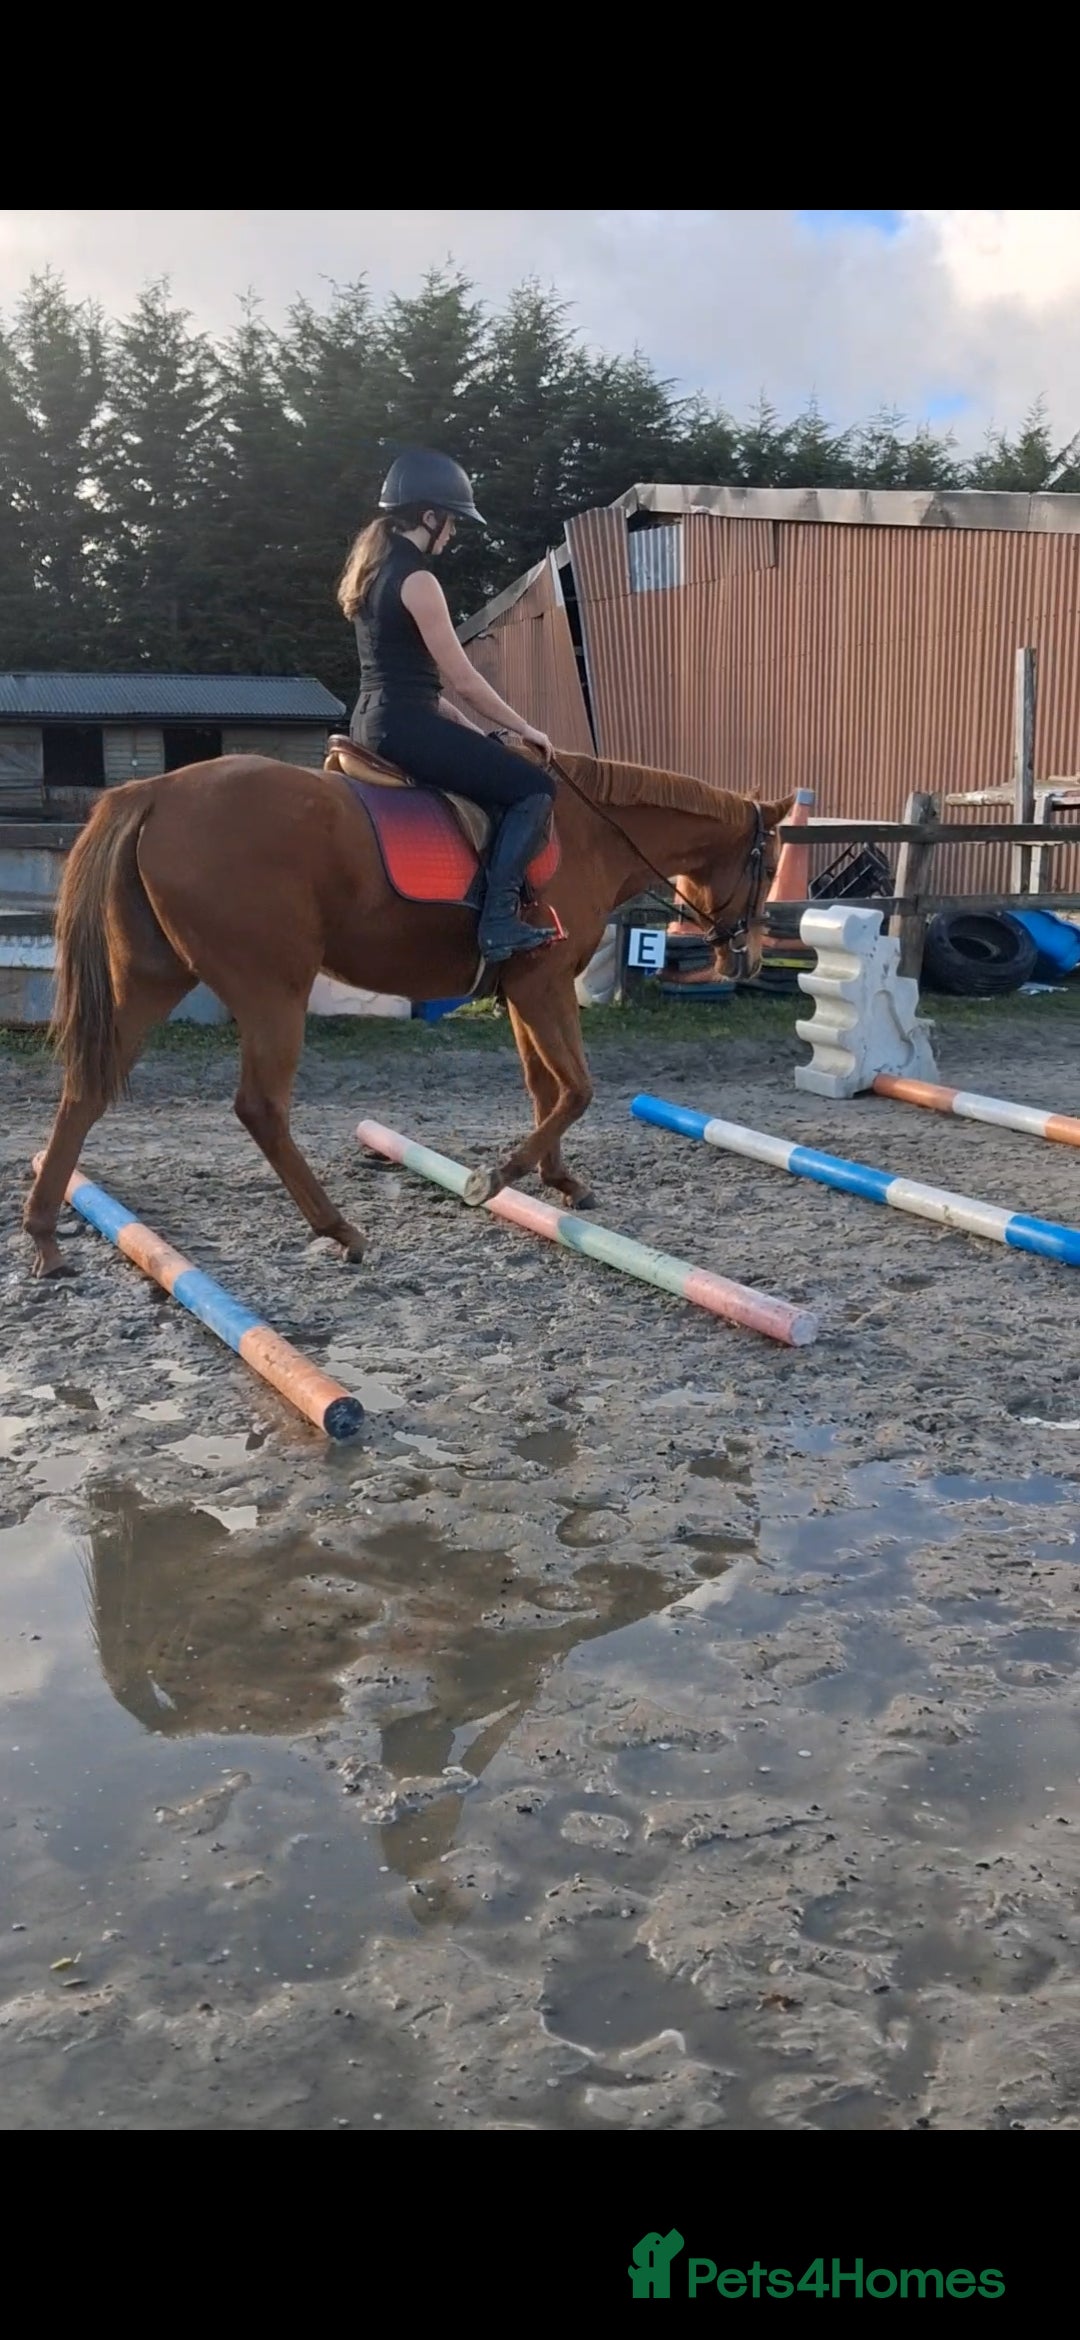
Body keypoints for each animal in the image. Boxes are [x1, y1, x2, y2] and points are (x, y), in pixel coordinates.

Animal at [23, 741, 795, 1278]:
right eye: (765, 863)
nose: (748, 960)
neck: (589, 834)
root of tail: (154, 791)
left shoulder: (524, 991)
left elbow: (544, 1087)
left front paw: (561, 1181)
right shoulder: (543, 985)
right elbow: (576, 1089)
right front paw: (497, 1177)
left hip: (153, 980)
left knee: (85, 1091)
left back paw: (45, 1239)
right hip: (273, 989)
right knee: (260, 1108)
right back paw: (338, 1229)